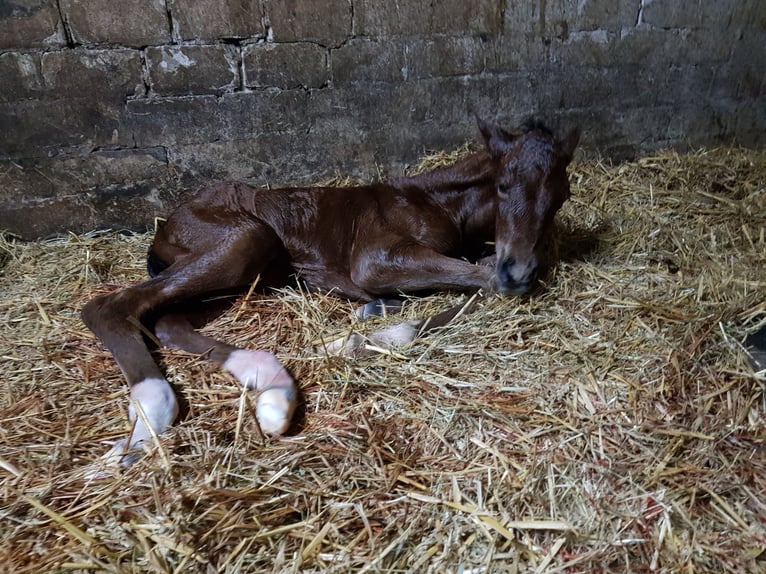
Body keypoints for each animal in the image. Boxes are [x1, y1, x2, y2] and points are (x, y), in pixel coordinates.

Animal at [84, 119, 580, 466]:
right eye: (503, 185)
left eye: (562, 197)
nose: (519, 268)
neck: (439, 202)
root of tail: (166, 224)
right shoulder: (374, 258)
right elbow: (483, 283)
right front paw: (358, 337)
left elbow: (481, 279)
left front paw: (371, 321)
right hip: (245, 239)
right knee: (109, 306)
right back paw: (152, 415)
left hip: (243, 272)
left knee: (167, 321)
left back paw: (273, 390)